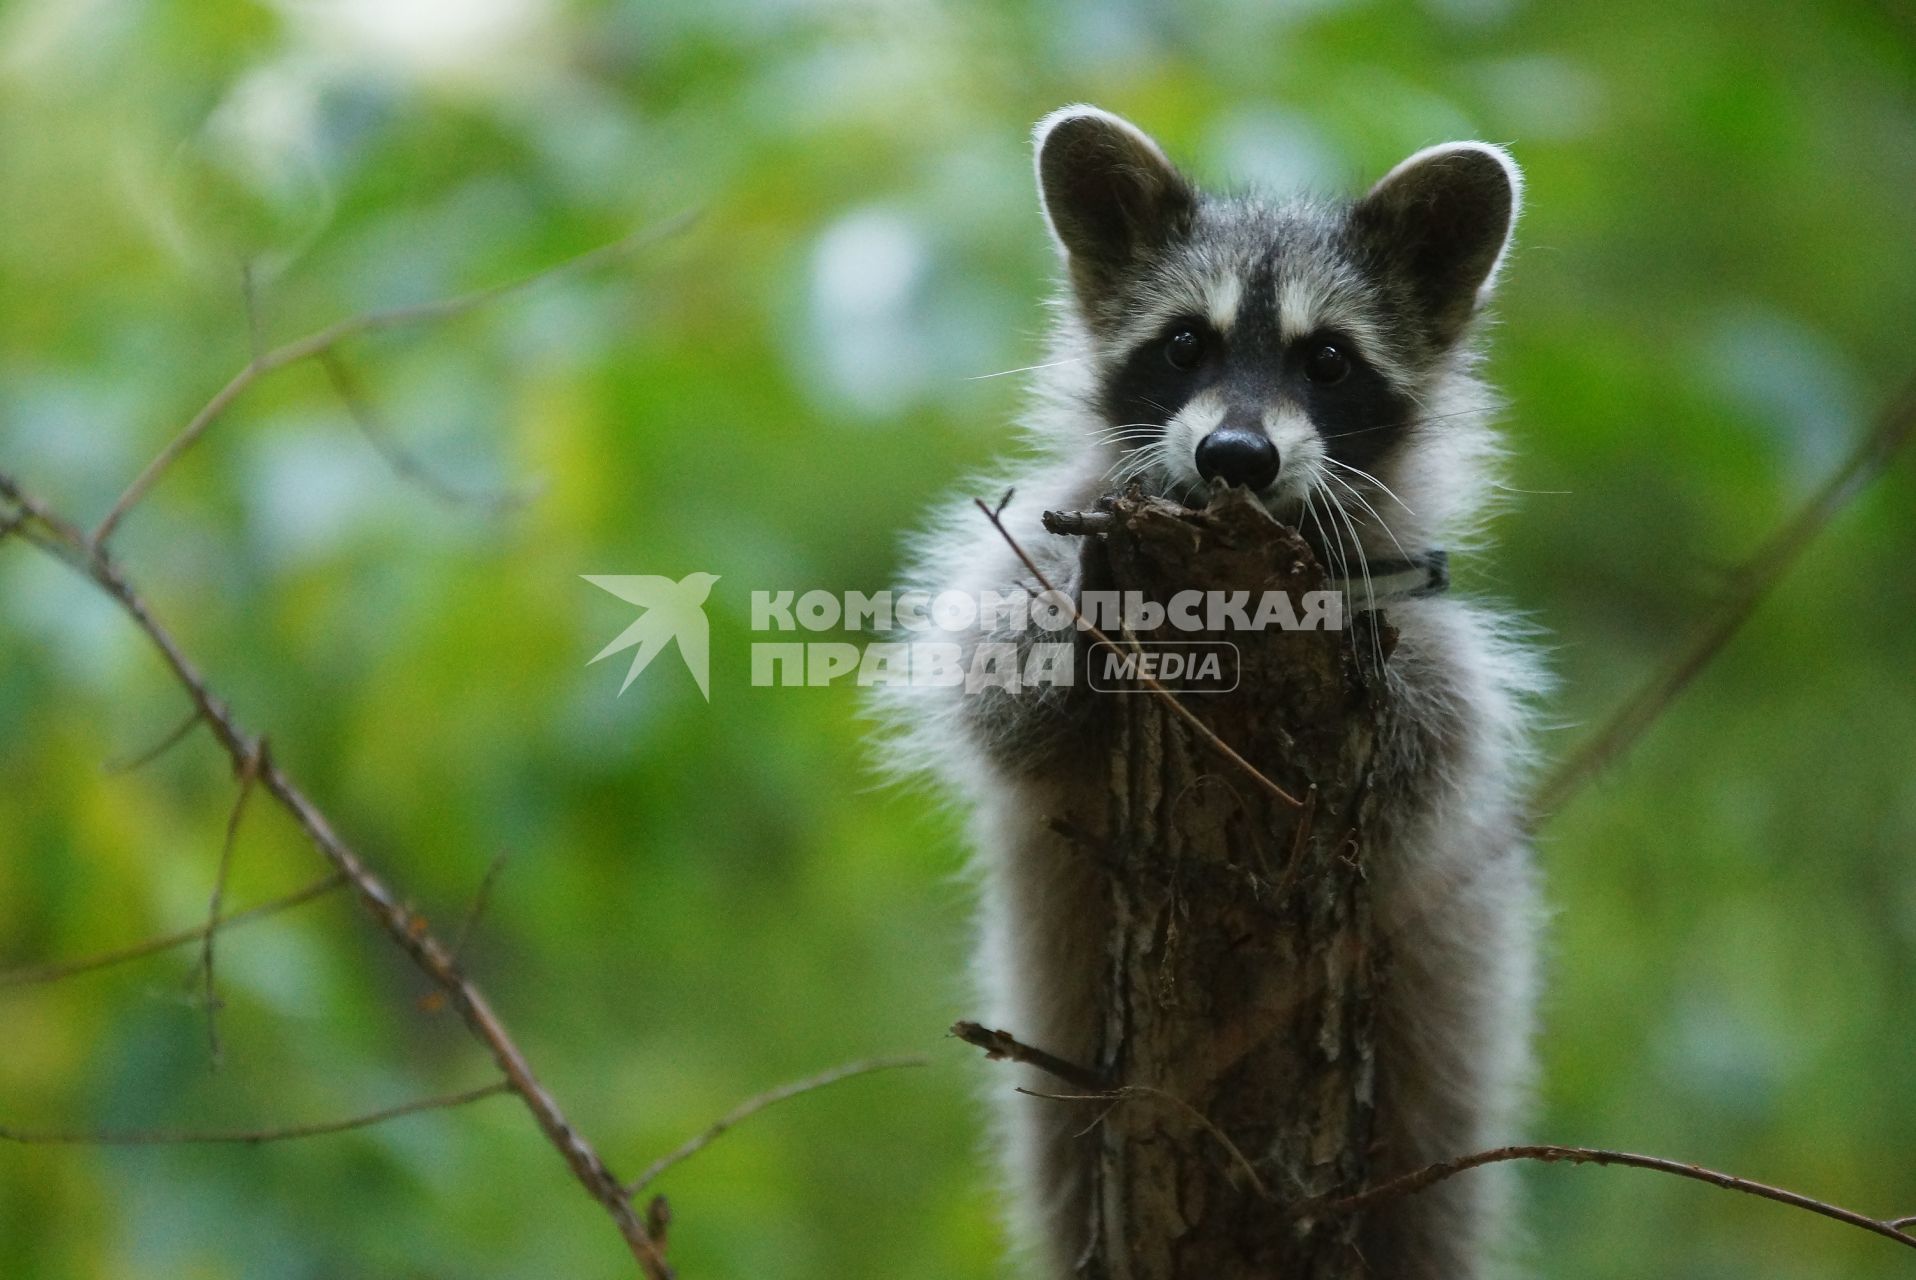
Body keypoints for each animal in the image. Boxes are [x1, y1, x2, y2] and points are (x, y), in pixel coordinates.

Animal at [877, 104, 1548, 1272]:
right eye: (1185, 342)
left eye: (1327, 360)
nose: (1236, 455)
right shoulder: (1044, 543)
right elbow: (992, 690)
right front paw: (1069, 636)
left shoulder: (1412, 611)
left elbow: (1437, 738)